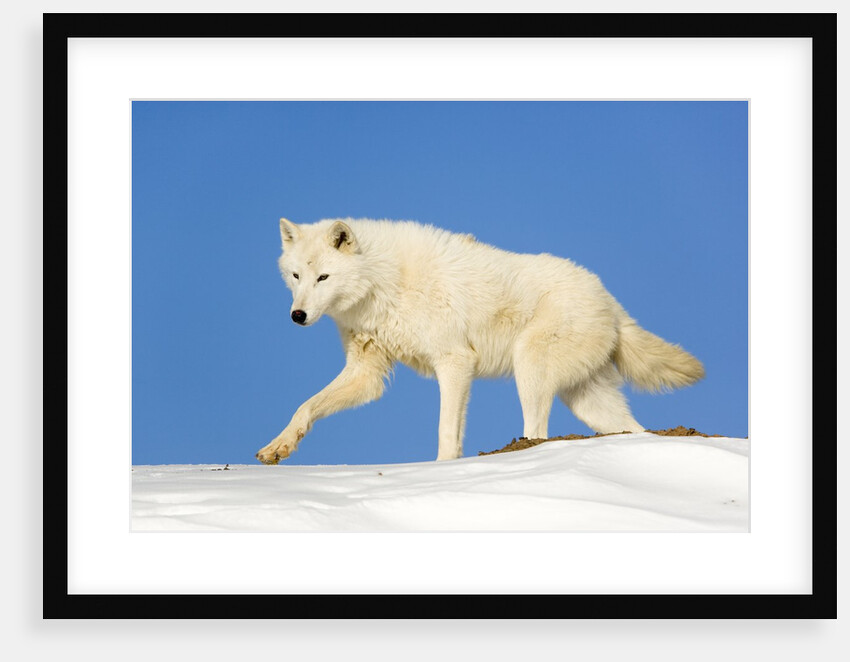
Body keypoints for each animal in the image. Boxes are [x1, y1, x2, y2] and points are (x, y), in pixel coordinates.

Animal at [255, 218, 704, 464]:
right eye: (296, 276)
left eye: (324, 277)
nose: (297, 316)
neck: (383, 282)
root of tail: (611, 301)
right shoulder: (367, 373)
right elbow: (305, 406)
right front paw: (279, 447)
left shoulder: (455, 362)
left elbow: (446, 432)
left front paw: (440, 469)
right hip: (589, 403)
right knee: (634, 430)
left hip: (529, 367)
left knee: (537, 431)